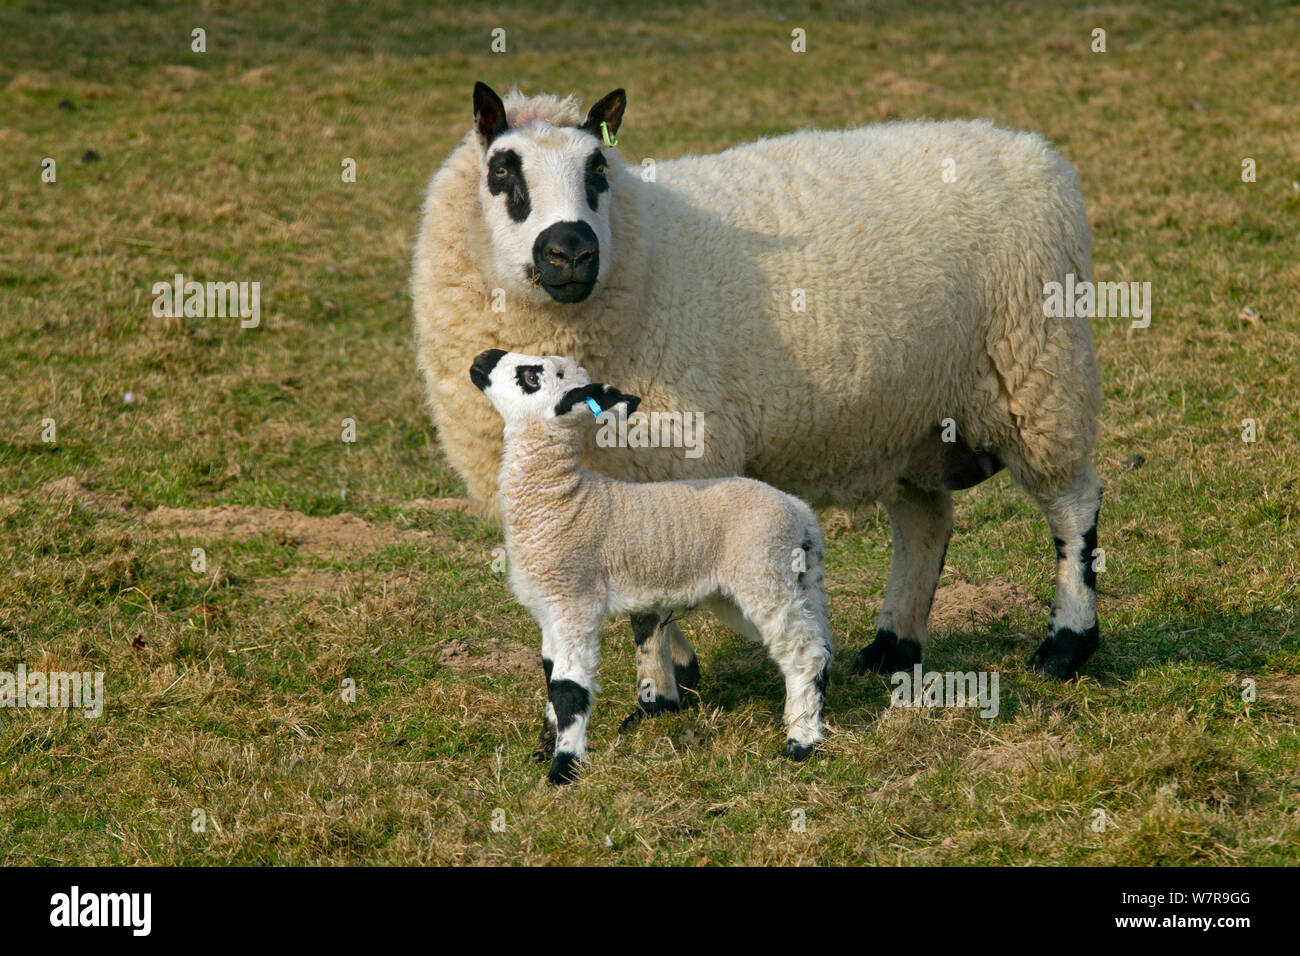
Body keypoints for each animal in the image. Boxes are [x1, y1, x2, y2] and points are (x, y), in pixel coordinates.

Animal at [411, 82, 1103, 725]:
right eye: (503, 170)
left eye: (598, 170)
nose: (572, 251)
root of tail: (1027, 146)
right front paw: (677, 676)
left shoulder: (668, 459)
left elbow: (647, 607)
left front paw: (658, 699)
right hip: (910, 416)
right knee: (925, 522)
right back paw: (891, 649)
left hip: (1040, 371)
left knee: (1073, 507)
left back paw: (1065, 646)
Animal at [470, 347, 834, 783]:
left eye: (531, 376)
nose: (483, 356)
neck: (563, 499)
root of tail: (800, 513)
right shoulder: (549, 609)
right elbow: (549, 675)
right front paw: (543, 749)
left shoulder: (574, 601)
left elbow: (568, 687)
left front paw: (564, 769)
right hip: (769, 586)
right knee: (817, 639)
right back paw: (812, 718)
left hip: (762, 573)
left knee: (803, 651)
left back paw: (801, 742)